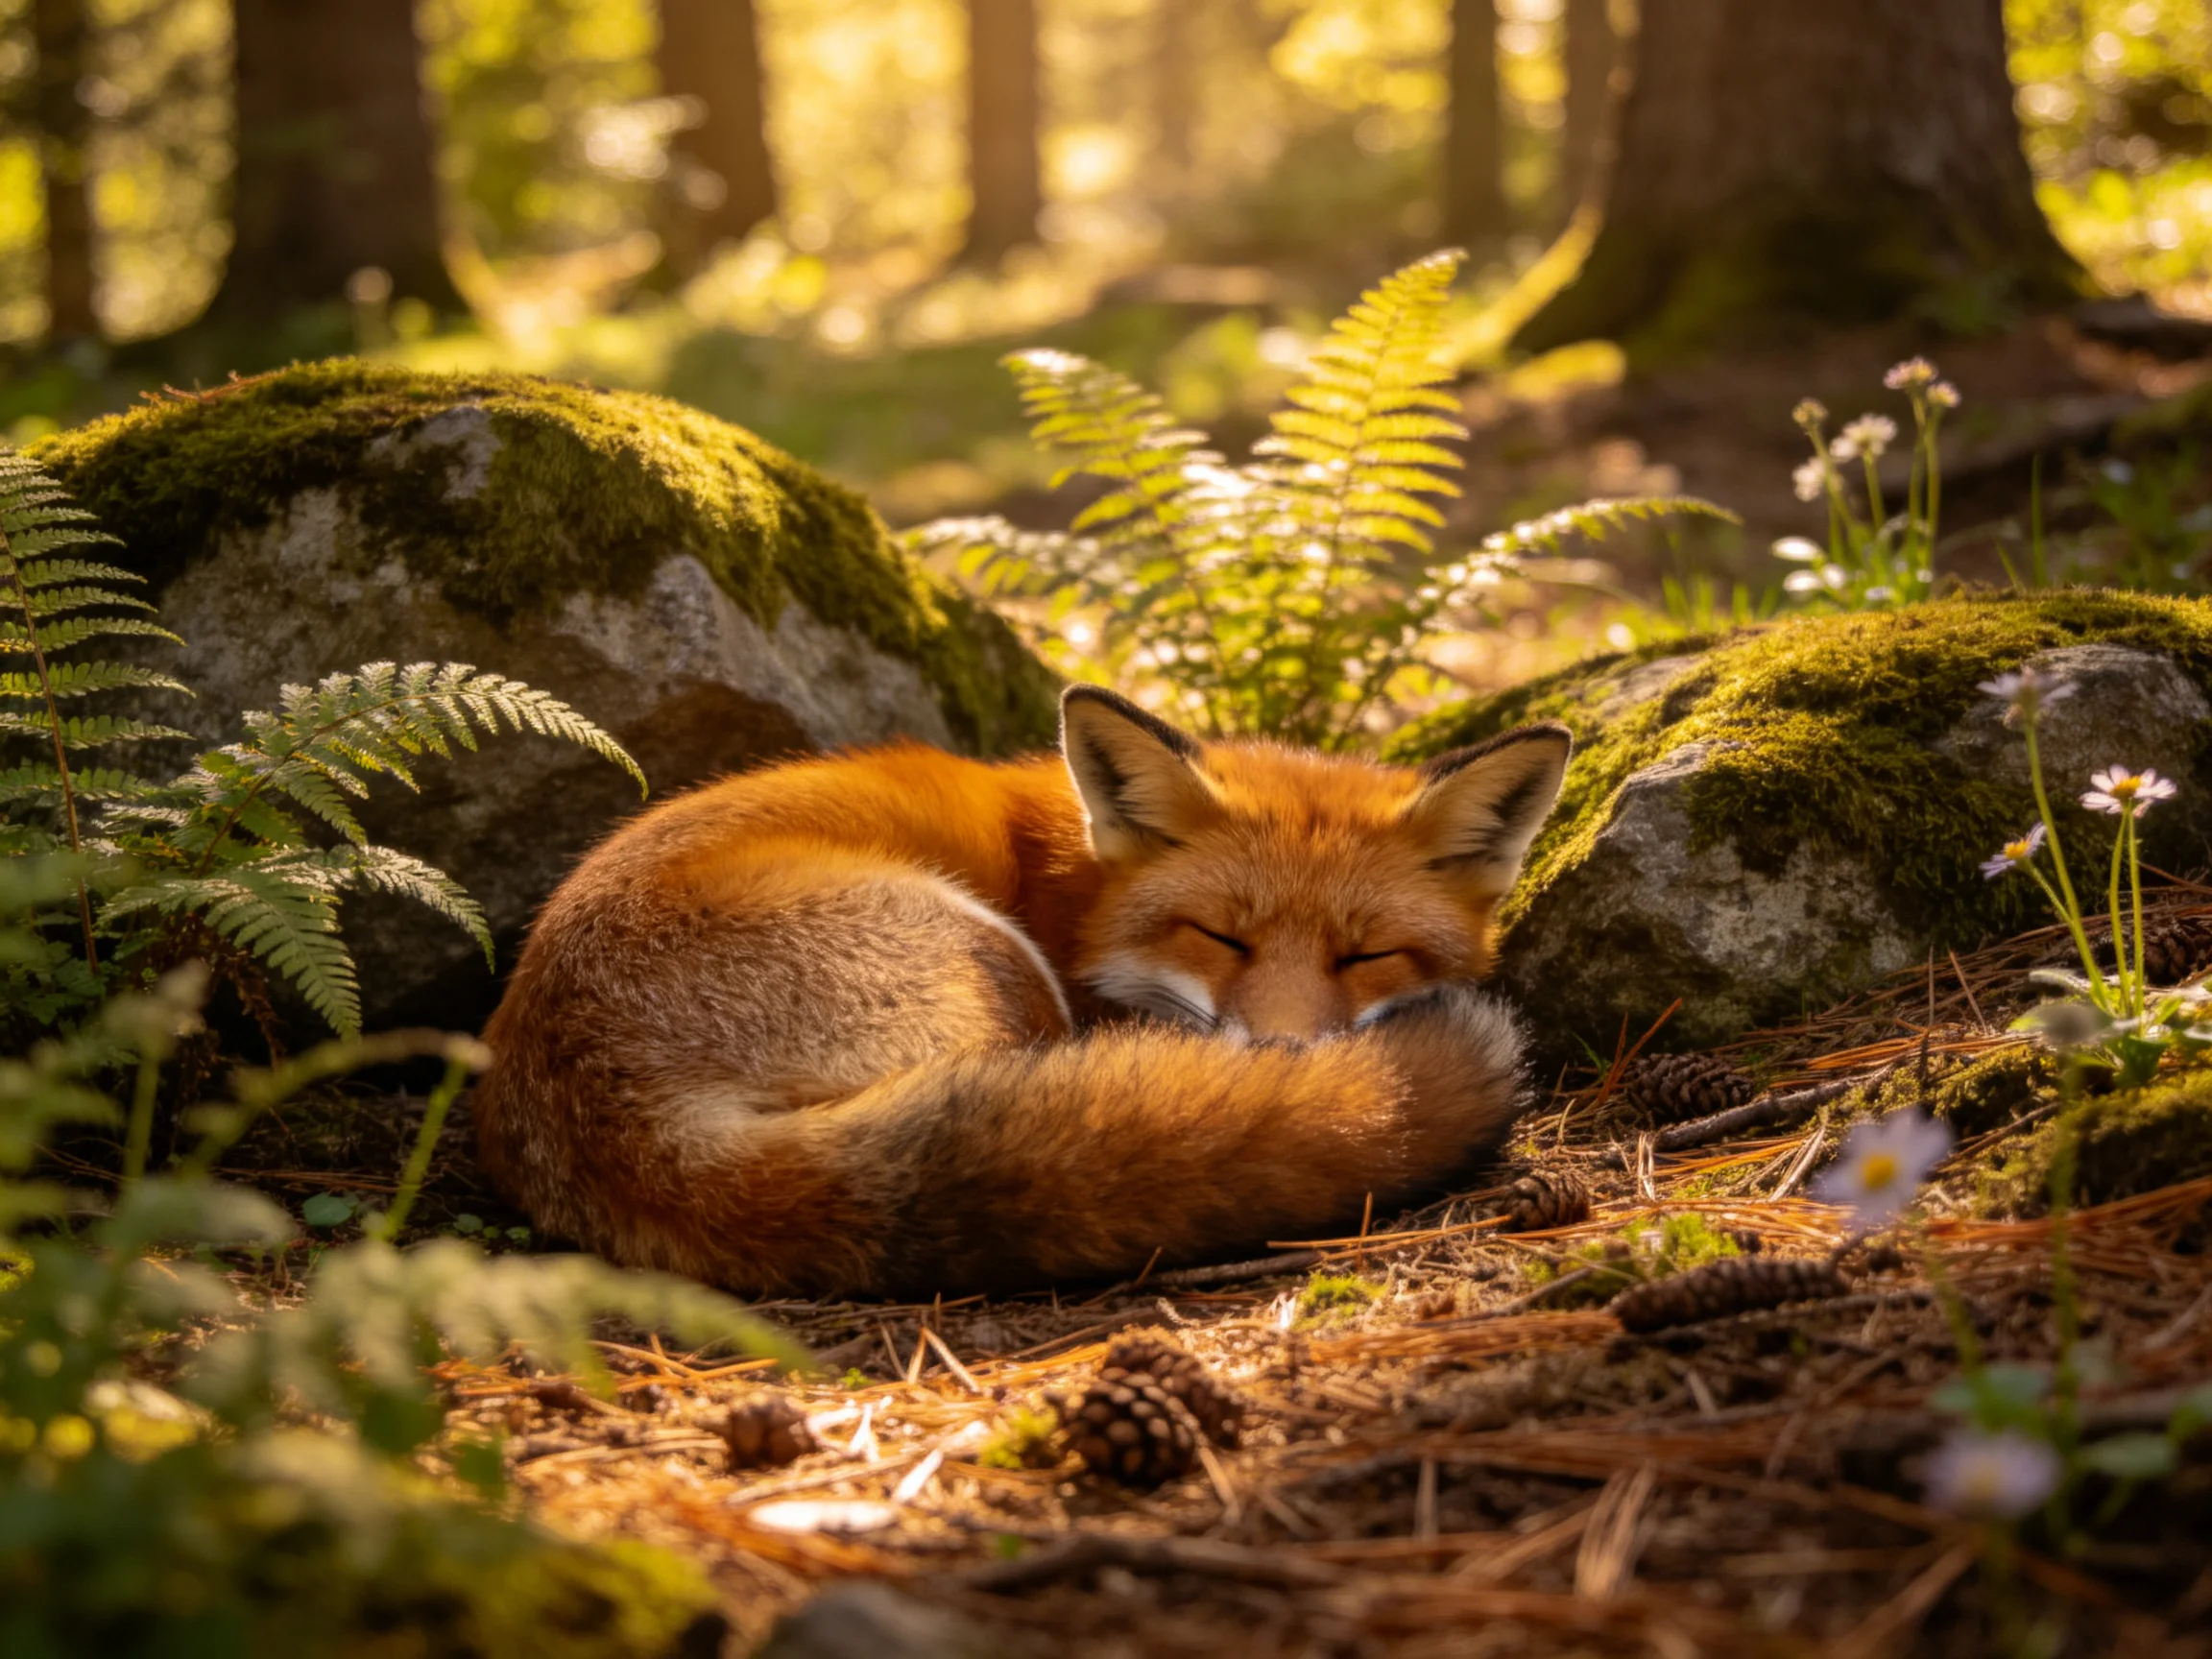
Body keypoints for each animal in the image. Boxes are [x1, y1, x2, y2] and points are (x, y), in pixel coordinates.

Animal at [472, 686, 1571, 1299]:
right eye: (1221, 936)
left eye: (1367, 954)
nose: (1288, 1059)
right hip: (989, 962)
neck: (1076, 884)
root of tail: (619, 1117)